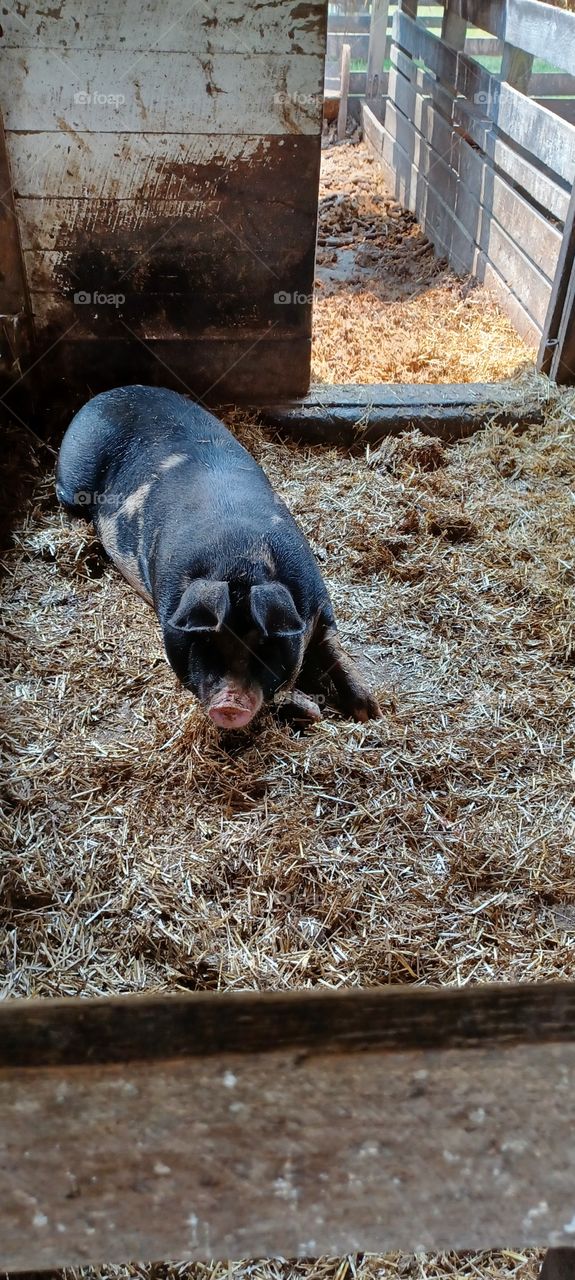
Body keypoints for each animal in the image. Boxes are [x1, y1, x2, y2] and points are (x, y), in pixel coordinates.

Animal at [56, 386, 381, 729]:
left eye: (264, 644)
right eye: (206, 641)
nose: (229, 704)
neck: (240, 561)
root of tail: (100, 398)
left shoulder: (319, 599)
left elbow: (333, 647)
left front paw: (369, 711)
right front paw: (314, 711)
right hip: (75, 478)